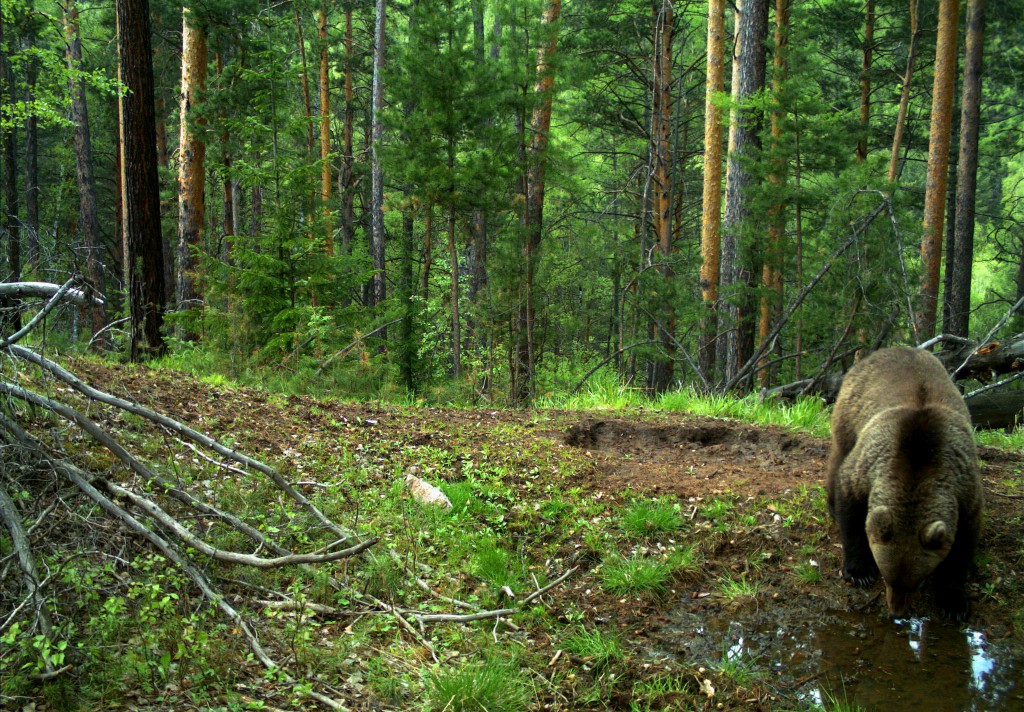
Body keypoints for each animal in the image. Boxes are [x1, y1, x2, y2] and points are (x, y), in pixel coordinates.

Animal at [826, 346, 983, 621]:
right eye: (887, 576)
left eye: (916, 581)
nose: (897, 611)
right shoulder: (868, 464)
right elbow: (850, 503)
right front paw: (859, 571)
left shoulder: (964, 489)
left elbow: (962, 545)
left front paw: (953, 601)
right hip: (849, 411)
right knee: (839, 453)